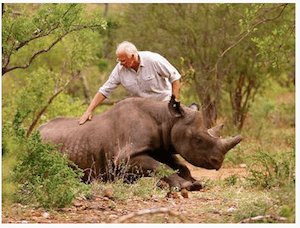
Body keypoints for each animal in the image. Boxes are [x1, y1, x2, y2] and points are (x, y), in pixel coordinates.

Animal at [39, 96, 241, 191]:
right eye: (198, 140)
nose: (217, 163)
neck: (167, 119)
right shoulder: (126, 156)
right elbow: (159, 166)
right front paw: (185, 186)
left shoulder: (162, 147)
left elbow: (179, 165)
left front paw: (195, 183)